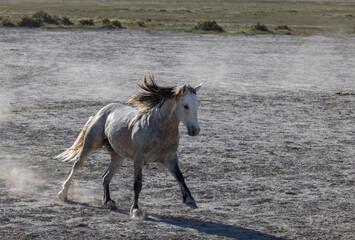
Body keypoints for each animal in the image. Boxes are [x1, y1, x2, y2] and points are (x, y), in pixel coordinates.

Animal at [55, 73, 200, 219]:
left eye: (197, 105)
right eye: (186, 106)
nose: (195, 130)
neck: (159, 128)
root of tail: (103, 110)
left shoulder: (170, 158)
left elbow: (180, 176)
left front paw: (190, 200)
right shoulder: (138, 159)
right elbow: (137, 184)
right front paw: (135, 210)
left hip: (118, 157)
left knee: (106, 176)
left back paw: (109, 201)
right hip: (90, 144)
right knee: (77, 164)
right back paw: (63, 194)